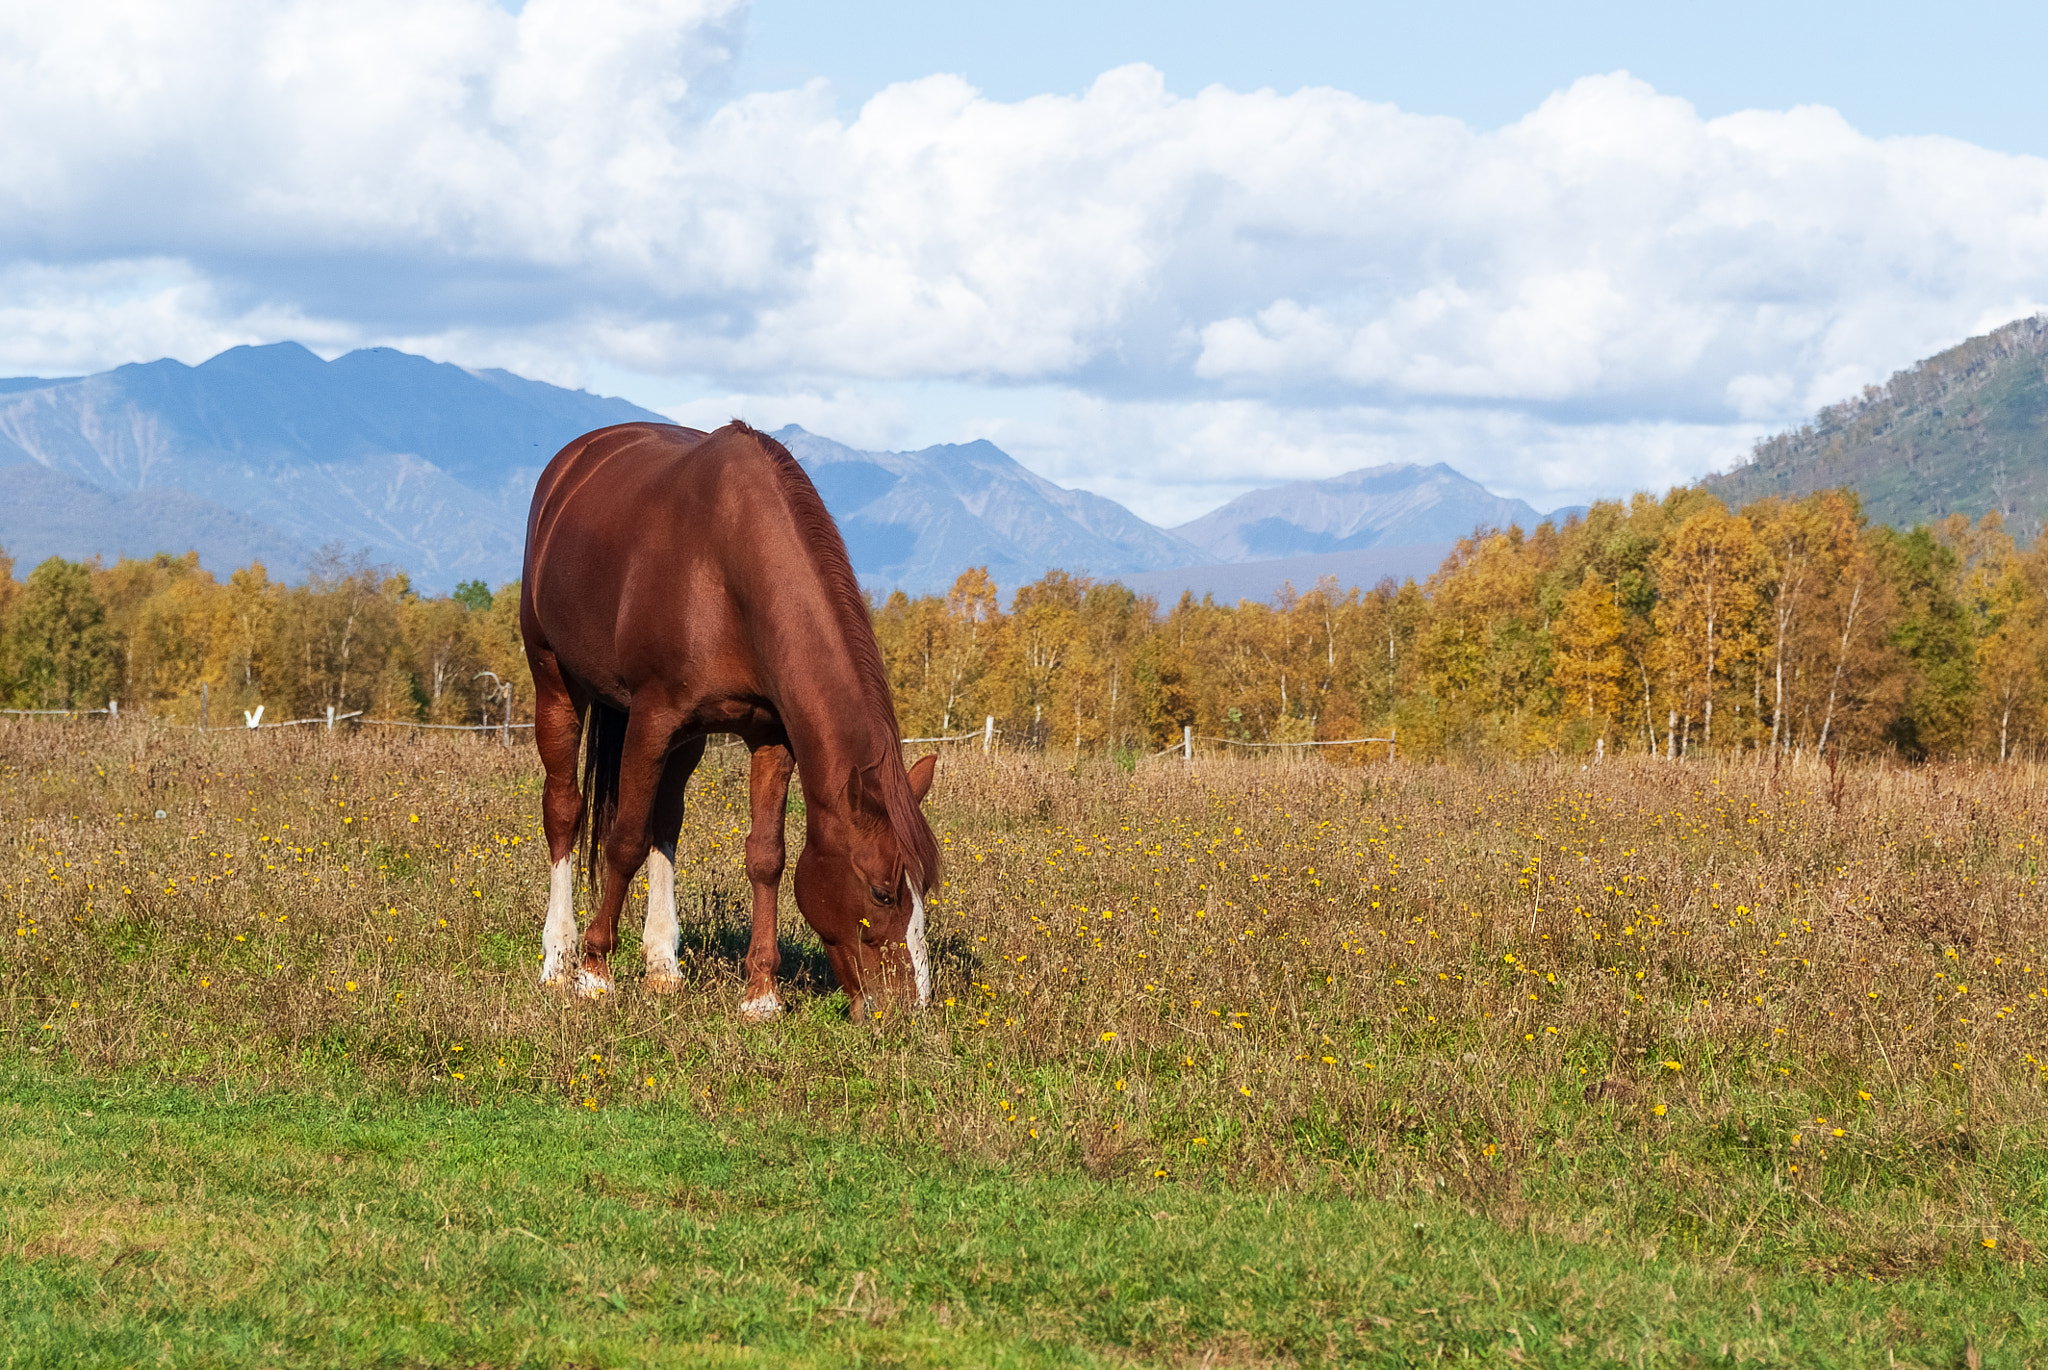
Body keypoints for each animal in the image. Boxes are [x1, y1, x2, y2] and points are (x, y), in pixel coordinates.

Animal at [516, 417, 937, 1015]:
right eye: (883, 892)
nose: (913, 1008)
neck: (726, 565)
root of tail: (573, 461)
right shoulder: (650, 720)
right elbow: (624, 841)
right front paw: (595, 972)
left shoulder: (770, 735)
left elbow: (766, 856)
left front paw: (761, 994)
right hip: (554, 679)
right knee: (564, 812)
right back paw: (559, 957)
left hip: (686, 739)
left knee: (666, 822)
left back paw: (662, 963)